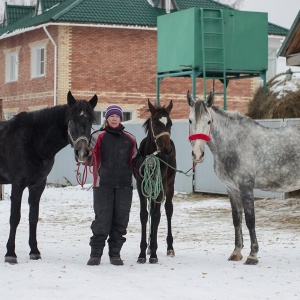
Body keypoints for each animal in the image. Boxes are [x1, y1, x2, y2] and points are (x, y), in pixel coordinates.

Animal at [0, 91, 97, 262]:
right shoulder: (18, 184)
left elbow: (33, 217)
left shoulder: (38, 185)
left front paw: (34, 251)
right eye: (72, 120)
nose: (82, 153)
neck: (32, 140)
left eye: (90, 120)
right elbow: (15, 217)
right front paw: (10, 254)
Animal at [134, 99, 175, 262]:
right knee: (151, 211)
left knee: (168, 210)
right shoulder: (141, 186)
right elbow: (144, 215)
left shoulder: (161, 186)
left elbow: (157, 216)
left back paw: (169, 248)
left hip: (169, 186)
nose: (167, 150)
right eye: (156, 124)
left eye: (170, 123)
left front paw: (153, 255)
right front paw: (142, 253)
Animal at [186, 90, 300, 264]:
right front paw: (236, 252)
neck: (234, 143)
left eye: (209, 121)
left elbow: (250, 219)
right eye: (190, 120)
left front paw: (253, 255)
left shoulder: (246, 187)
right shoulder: (231, 188)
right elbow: (236, 219)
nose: (197, 154)